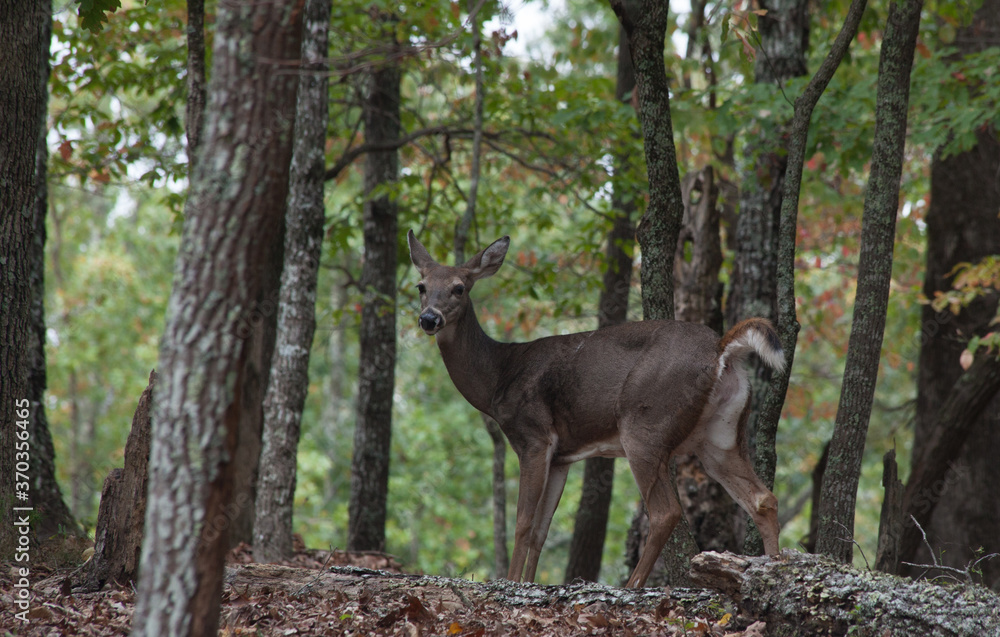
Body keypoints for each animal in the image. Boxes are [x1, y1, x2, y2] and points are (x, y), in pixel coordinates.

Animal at [407, 230, 786, 588]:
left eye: (459, 288)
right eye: (421, 286)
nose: (429, 319)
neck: (499, 377)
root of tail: (720, 348)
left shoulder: (534, 437)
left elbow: (523, 522)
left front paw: (510, 582)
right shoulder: (562, 456)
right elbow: (541, 530)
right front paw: (529, 581)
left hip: (645, 424)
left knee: (666, 511)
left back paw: (633, 585)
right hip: (720, 436)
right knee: (762, 498)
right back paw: (770, 571)